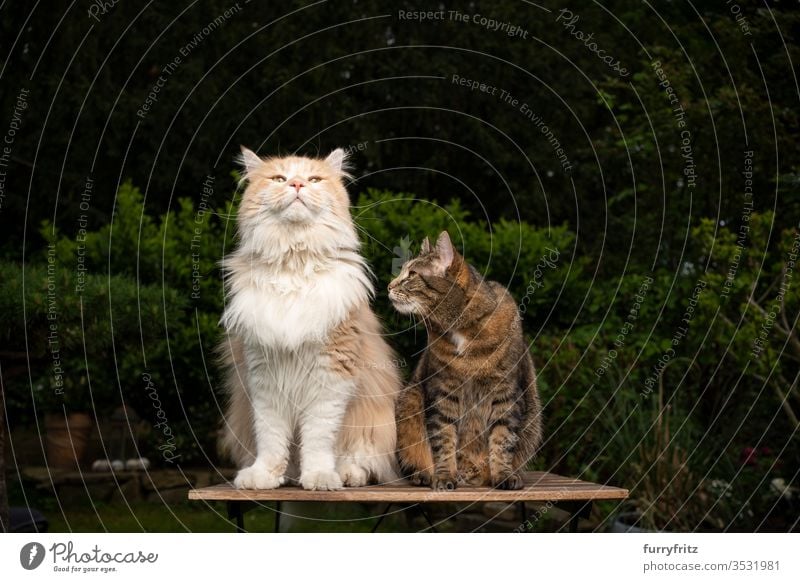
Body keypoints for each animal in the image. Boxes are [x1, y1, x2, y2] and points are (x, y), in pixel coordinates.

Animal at [219, 148, 400, 490]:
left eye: (314, 180)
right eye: (279, 178)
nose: (298, 184)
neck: (294, 264)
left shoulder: (330, 375)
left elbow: (317, 439)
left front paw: (319, 478)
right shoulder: (264, 376)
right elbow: (271, 439)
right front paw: (265, 476)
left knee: (364, 460)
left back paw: (347, 475)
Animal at [390, 230, 544, 490]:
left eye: (411, 274)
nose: (389, 285)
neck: (461, 329)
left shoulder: (506, 393)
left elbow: (502, 439)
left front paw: (503, 475)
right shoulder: (443, 391)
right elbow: (443, 438)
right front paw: (444, 477)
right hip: (408, 405)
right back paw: (424, 475)